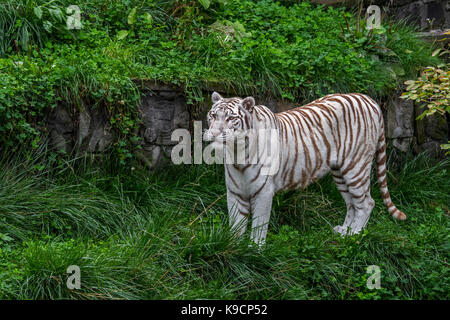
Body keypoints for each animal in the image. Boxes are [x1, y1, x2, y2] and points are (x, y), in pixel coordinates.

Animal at [205, 91, 408, 246]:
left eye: (231, 118)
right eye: (213, 115)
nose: (213, 133)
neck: (237, 153)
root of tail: (369, 99)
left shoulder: (263, 192)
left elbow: (258, 225)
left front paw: (254, 250)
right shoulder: (235, 192)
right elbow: (236, 225)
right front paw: (234, 248)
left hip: (355, 168)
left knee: (366, 203)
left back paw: (354, 235)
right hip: (340, 173)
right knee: (352, 204)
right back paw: (344, 231)